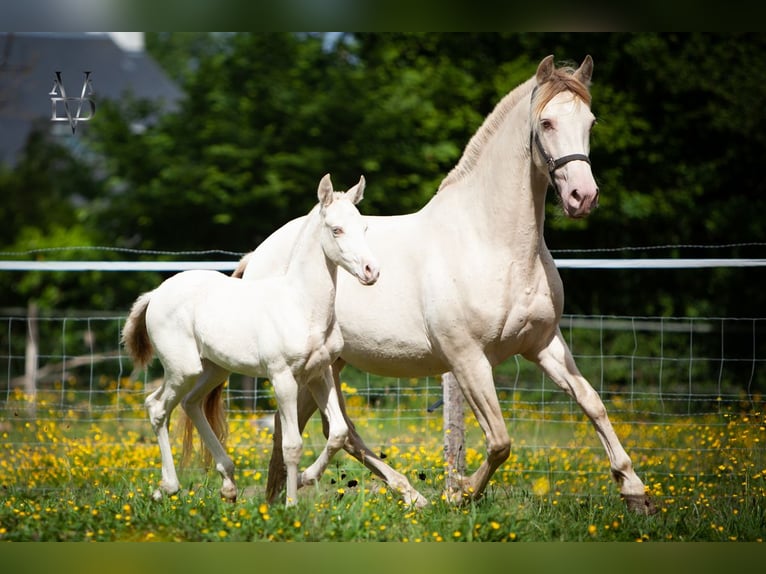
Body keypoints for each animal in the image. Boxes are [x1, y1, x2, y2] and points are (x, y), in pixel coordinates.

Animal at [121, 174, 379, 507]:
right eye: (336, 229)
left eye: (364, 228)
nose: (371, 271)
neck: (301, 305)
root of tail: (155, 294)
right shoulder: (282, 377)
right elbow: (291, 444)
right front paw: (291, 505)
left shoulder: (319, 373)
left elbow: (338, 432)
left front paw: (307, 478)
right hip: (183, 368)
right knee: (157, 407)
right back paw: (167, 487)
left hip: (214, 368)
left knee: (191, 403)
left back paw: (228, 484)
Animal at [231, 55, 656, 514]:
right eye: (546, 123)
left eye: (591, 122)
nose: (583, 196)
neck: (492, 242)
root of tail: (257, 256)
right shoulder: (468, 358)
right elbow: (500, 440)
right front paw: (462, 492)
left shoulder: (543, 344)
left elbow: (593, 403)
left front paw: (635, 492)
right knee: (322, 429)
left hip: (326, 363)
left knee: (325, 428)